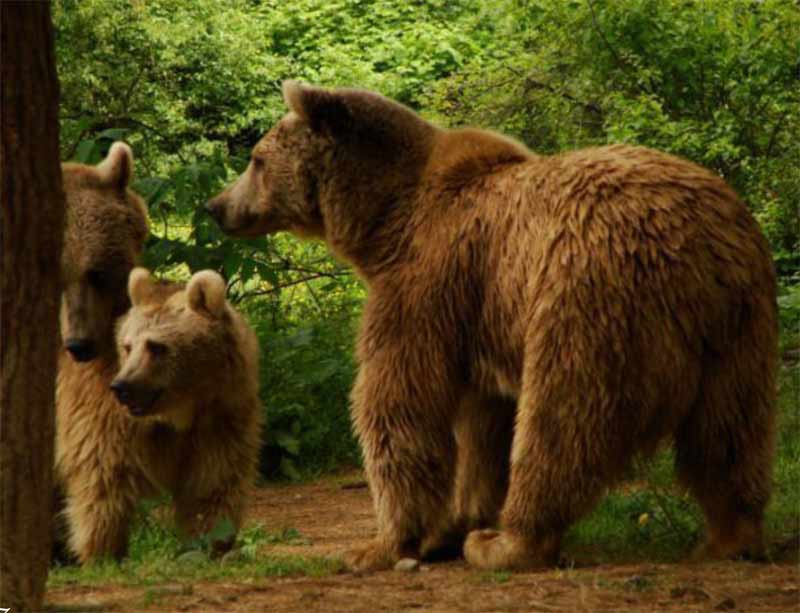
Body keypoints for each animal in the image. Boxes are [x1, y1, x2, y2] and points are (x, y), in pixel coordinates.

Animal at [205, 81, 776, 568]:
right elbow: (479, 427)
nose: (216, 205)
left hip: (587, 295)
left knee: (561, 418)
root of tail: (693, 245)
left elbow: (398, 401)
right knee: (730, 432)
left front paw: (380, 545)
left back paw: (508, 541)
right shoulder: (477, 318)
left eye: (256, 159)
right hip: (740, 323)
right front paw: (447, 527)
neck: (383, 223)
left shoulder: (425, 282)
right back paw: (730, 536)